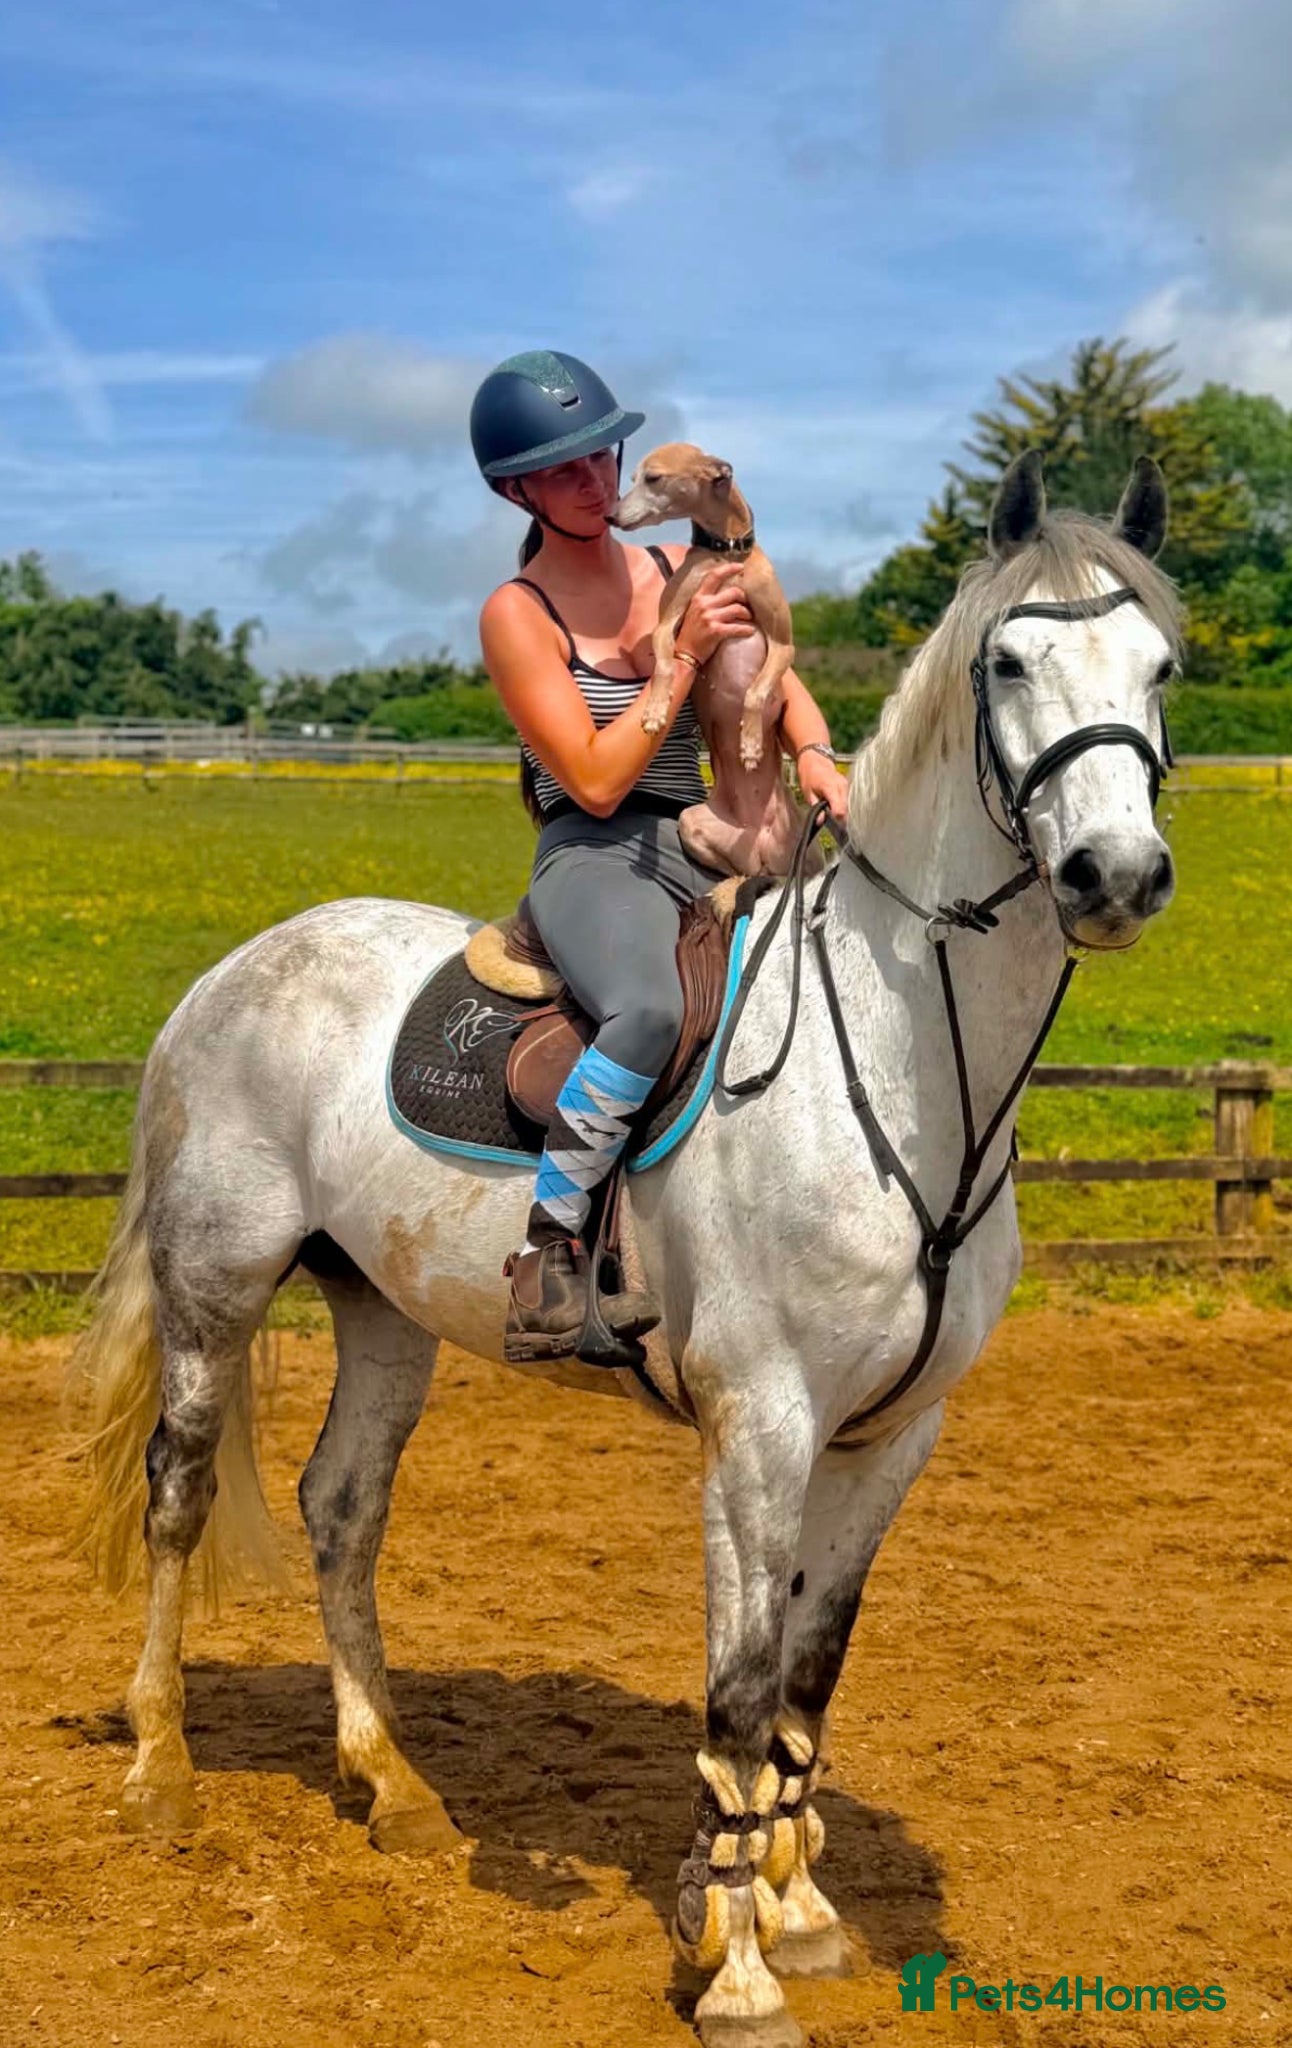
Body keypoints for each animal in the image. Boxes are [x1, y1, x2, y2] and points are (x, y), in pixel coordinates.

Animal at [73, 451, 1181, 2048]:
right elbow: (736, 1687)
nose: (1113, 873)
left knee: (341, 1509)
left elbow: (808, 1676)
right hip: (215, 1291)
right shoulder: (760, 1425)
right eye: (1008, 661)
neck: (908, 1062)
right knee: (176, 1497)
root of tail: (239, 966)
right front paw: (734, 1967)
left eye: (1160, 666)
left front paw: (796, 1906)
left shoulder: (889, 1436)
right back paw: (159, 1769)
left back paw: (392, 1786)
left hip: (381, 1306)